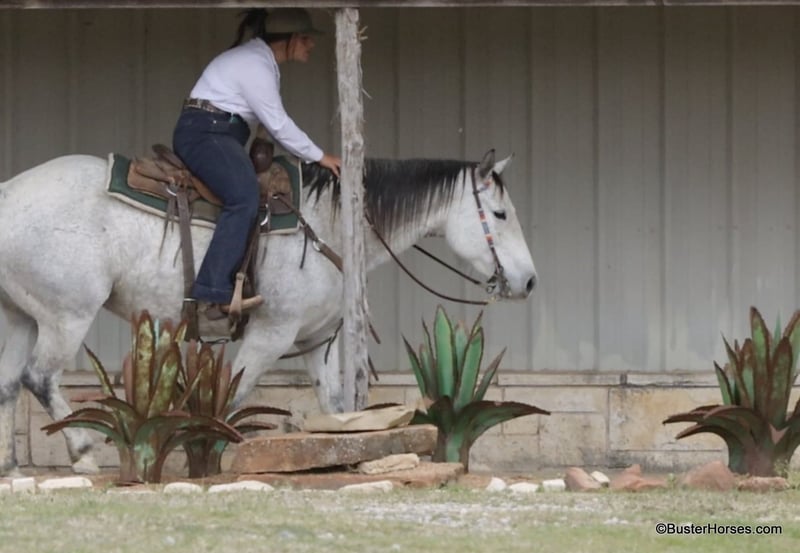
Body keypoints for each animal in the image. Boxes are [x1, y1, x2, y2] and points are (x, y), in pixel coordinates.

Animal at [0, 149, 537, 476]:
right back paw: (83, 455)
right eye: (501, 214)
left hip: (21, 316)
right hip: (67, 315)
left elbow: (335, 408)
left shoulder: (318, 342)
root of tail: (8, 193)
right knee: (39, 378)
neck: (328, 225)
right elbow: (233, 400)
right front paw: (208, 459)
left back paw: (10, 467)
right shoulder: (271, 336)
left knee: (8, 385)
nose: (529, 281)